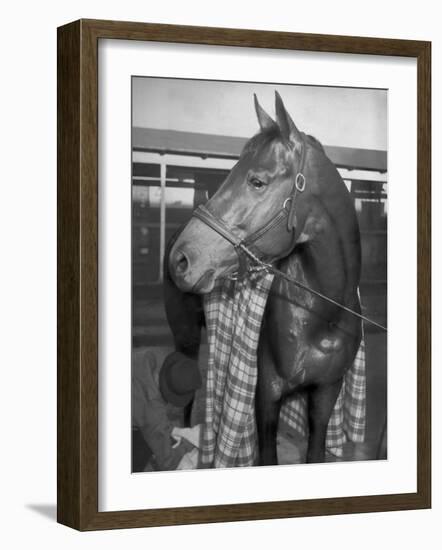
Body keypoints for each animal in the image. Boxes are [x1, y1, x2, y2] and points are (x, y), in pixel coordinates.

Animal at [164, 91, 360, 466]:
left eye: (257, 181)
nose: (181, 260)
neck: (321, 316)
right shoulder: (267, 394)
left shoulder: (326, 393)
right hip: (187, 339)